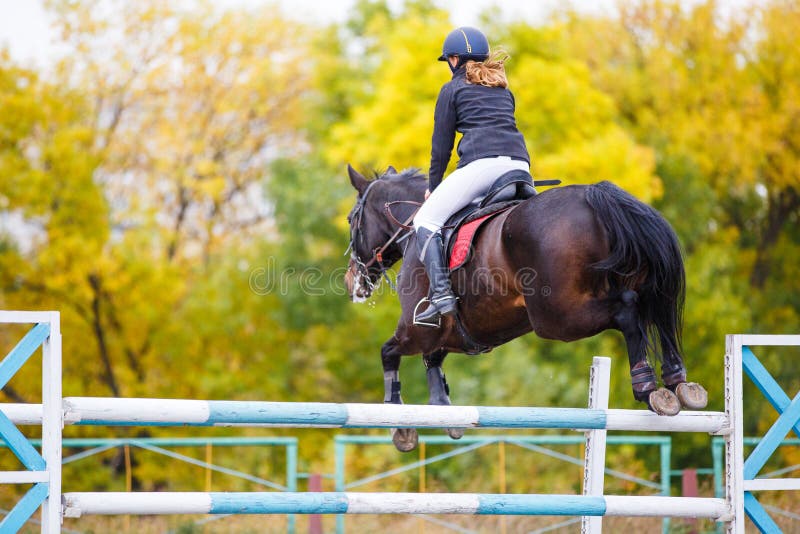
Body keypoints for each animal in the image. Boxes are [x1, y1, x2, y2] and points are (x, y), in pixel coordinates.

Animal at [344, 164, 708, 452]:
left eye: (352, 219)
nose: (352, 283)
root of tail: (596, 196)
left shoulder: (416, 330)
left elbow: (388, 353)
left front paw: (398, 423)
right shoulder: (455, 335)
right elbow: (432, 361)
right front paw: (444, 410)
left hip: (559, 318)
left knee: (628, 311)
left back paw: (646, 387)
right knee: (658, 315)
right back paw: (679, 384)